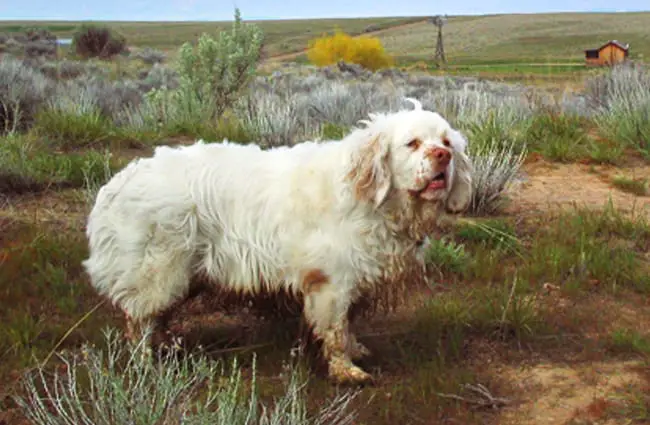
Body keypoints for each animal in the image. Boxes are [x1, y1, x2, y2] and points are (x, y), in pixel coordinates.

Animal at [83, 99, 474, 384]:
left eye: (446, 142)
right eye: (413, 143)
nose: (443, 156)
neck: (372, 198)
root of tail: (118, 182)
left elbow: (348, 325)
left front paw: (356, 350)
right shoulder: (331, 283)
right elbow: (335, 330)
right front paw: (346, 371)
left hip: (180, 272)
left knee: (155, 316)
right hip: (157, 270)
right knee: (139, 320)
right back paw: (146, 362)